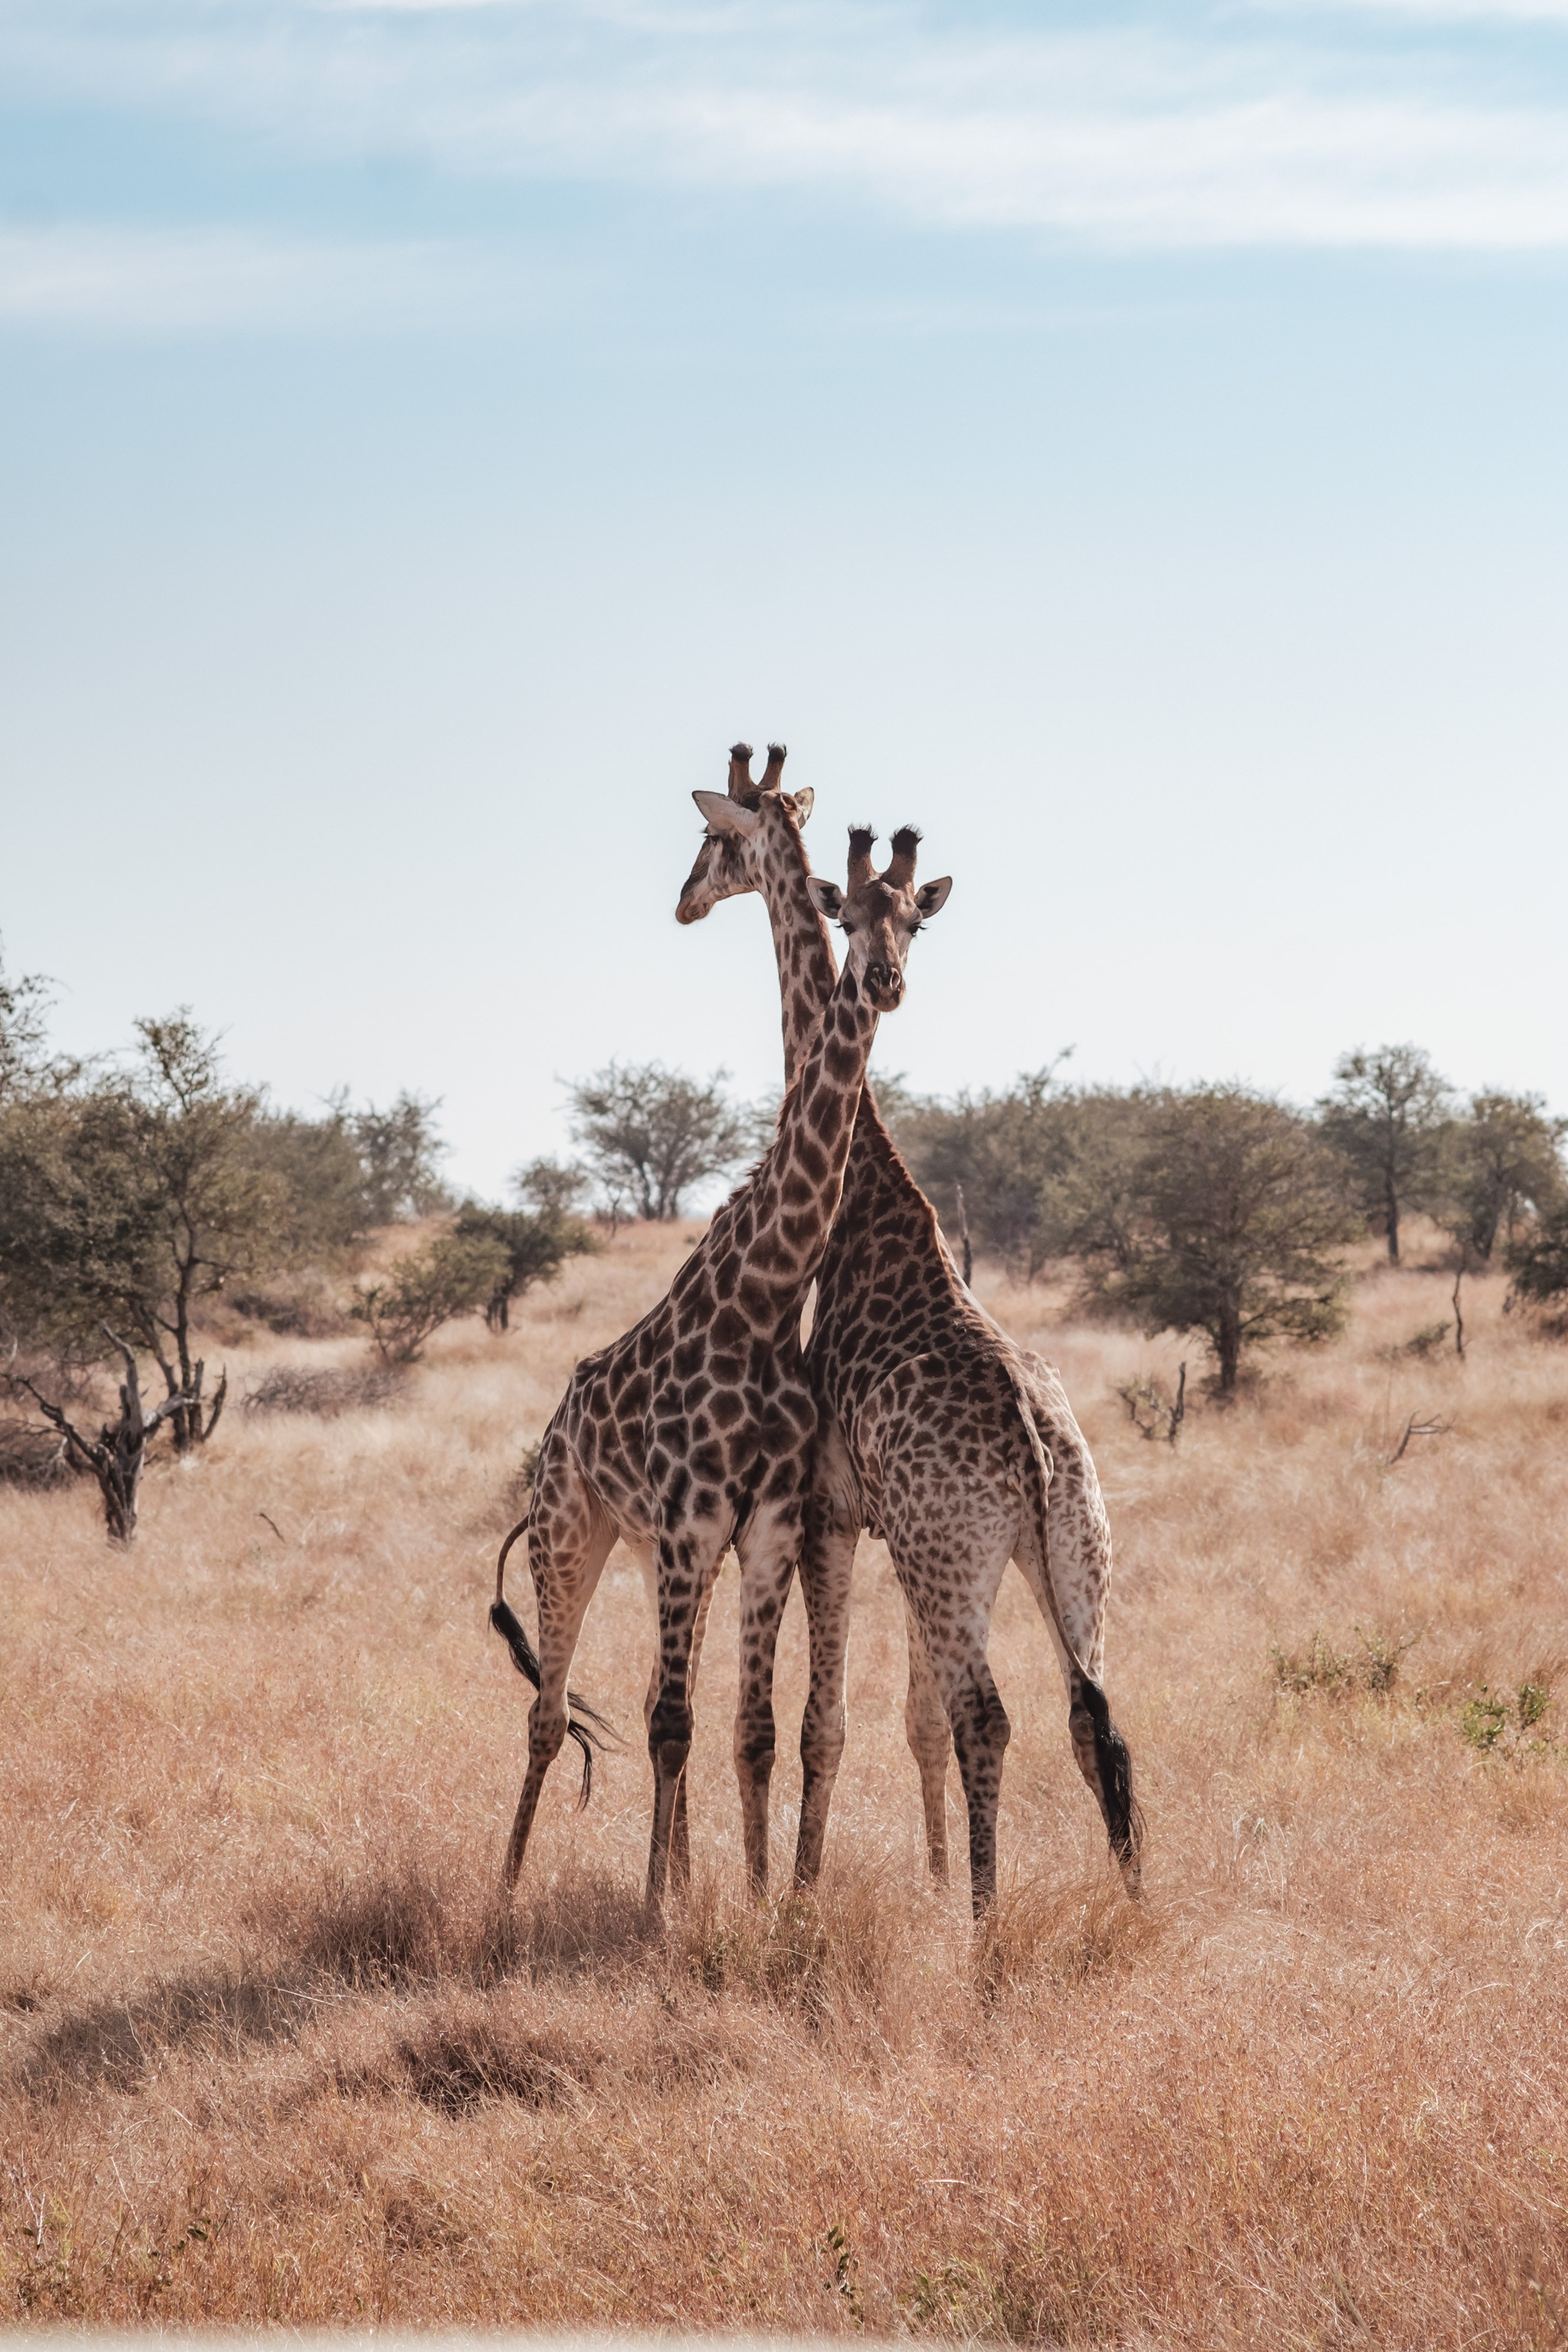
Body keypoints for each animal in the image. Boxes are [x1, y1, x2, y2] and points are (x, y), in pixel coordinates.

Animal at [492, 800, 952, 1910]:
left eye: (917, 918)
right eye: (848, 913)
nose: (882, 981)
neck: (765, 1294)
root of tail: (554, 1435)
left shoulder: (766, 1526)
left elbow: (746, 1728)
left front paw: (742, 1898)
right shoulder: (704, 1525)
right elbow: (676, 1725)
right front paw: (667, 1913)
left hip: (664, 1549)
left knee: (673, 1705)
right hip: (572, 1535)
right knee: (550, 1713)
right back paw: (511, 1886)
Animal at [677, 746, 1141, 1915]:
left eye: (711, 841)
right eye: (852, 917)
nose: (686, 900)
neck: (867, 1204)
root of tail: (1037, 1454)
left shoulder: (835, 1512)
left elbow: (827, 1722)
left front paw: (802, 1896)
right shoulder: (895, 1536)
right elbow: (911, 1721)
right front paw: (924, 1878)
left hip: (956, 1551)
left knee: (994, 1715)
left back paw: (984, 1927)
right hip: (1067, 1553)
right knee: (1097, 1718)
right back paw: (1133, 1907)